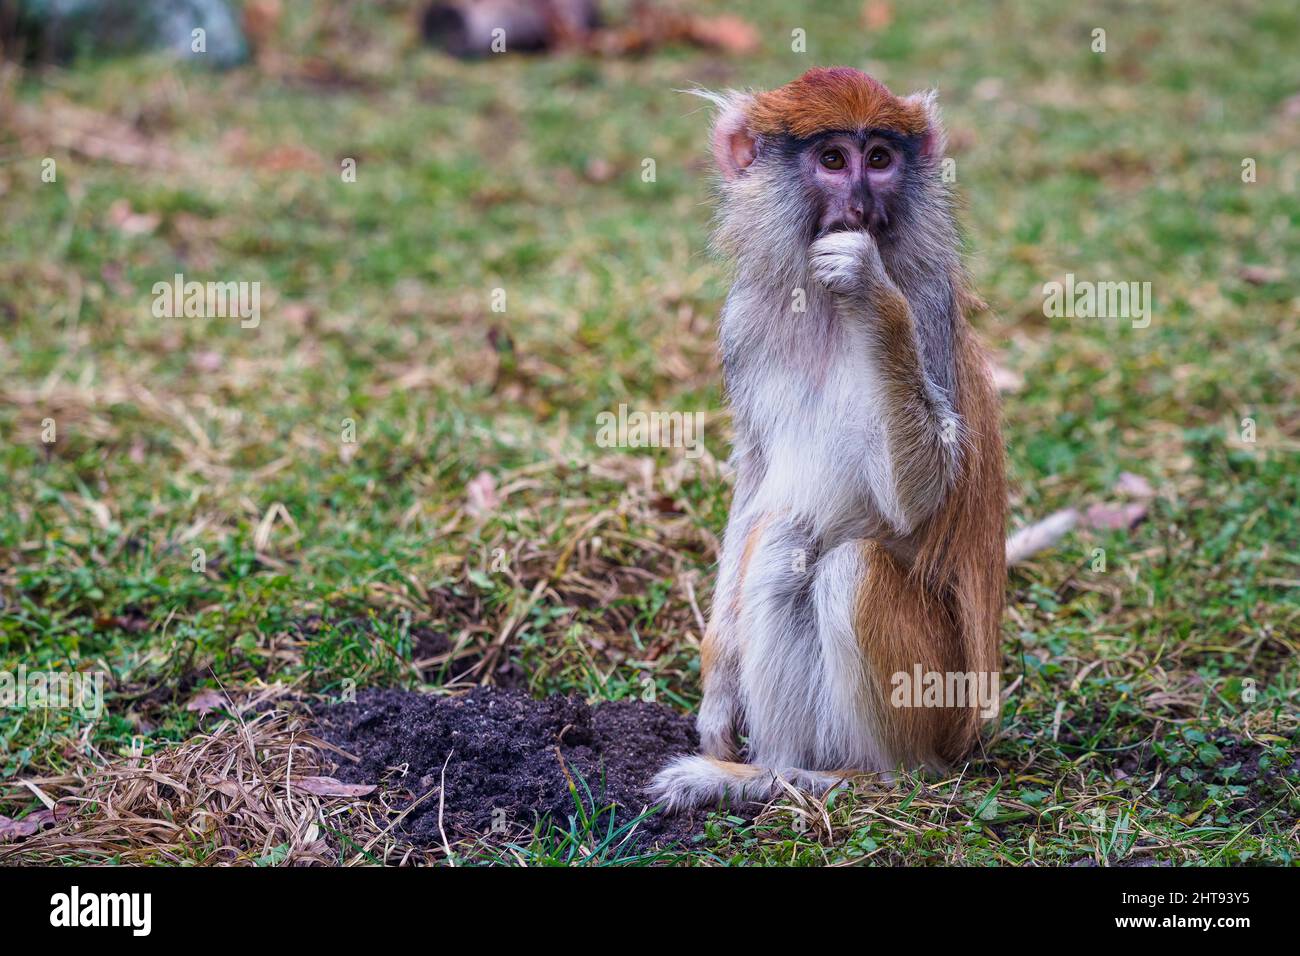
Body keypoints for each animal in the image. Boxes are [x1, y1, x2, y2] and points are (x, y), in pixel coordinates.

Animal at [651, 67, 1015, 810]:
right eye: (831, 159)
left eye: (878, 158)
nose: (859, 206)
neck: (818, 303)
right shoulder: (743, 320)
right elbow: (757, 479)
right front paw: (716, 696)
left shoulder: (929, 306)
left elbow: (921, 495)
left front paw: (872, 293)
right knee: (783, 546)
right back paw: (771, 773)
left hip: (938, 699)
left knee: (852, 567)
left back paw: (853, 777)